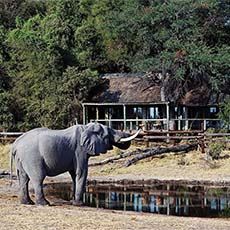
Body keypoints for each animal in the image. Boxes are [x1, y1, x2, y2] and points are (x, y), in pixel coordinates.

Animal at [11, 123, 140, 206]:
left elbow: (74, 174)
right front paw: (79, 204)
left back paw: (27, 203)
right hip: (32, 157)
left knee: (23, 178)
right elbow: (81, 172)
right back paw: (44, 204)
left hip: (22, 159)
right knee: (38, 178)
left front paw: (73, 202)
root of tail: (15, 144)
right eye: (108, 135)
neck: (86, 128)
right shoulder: (80, 150)